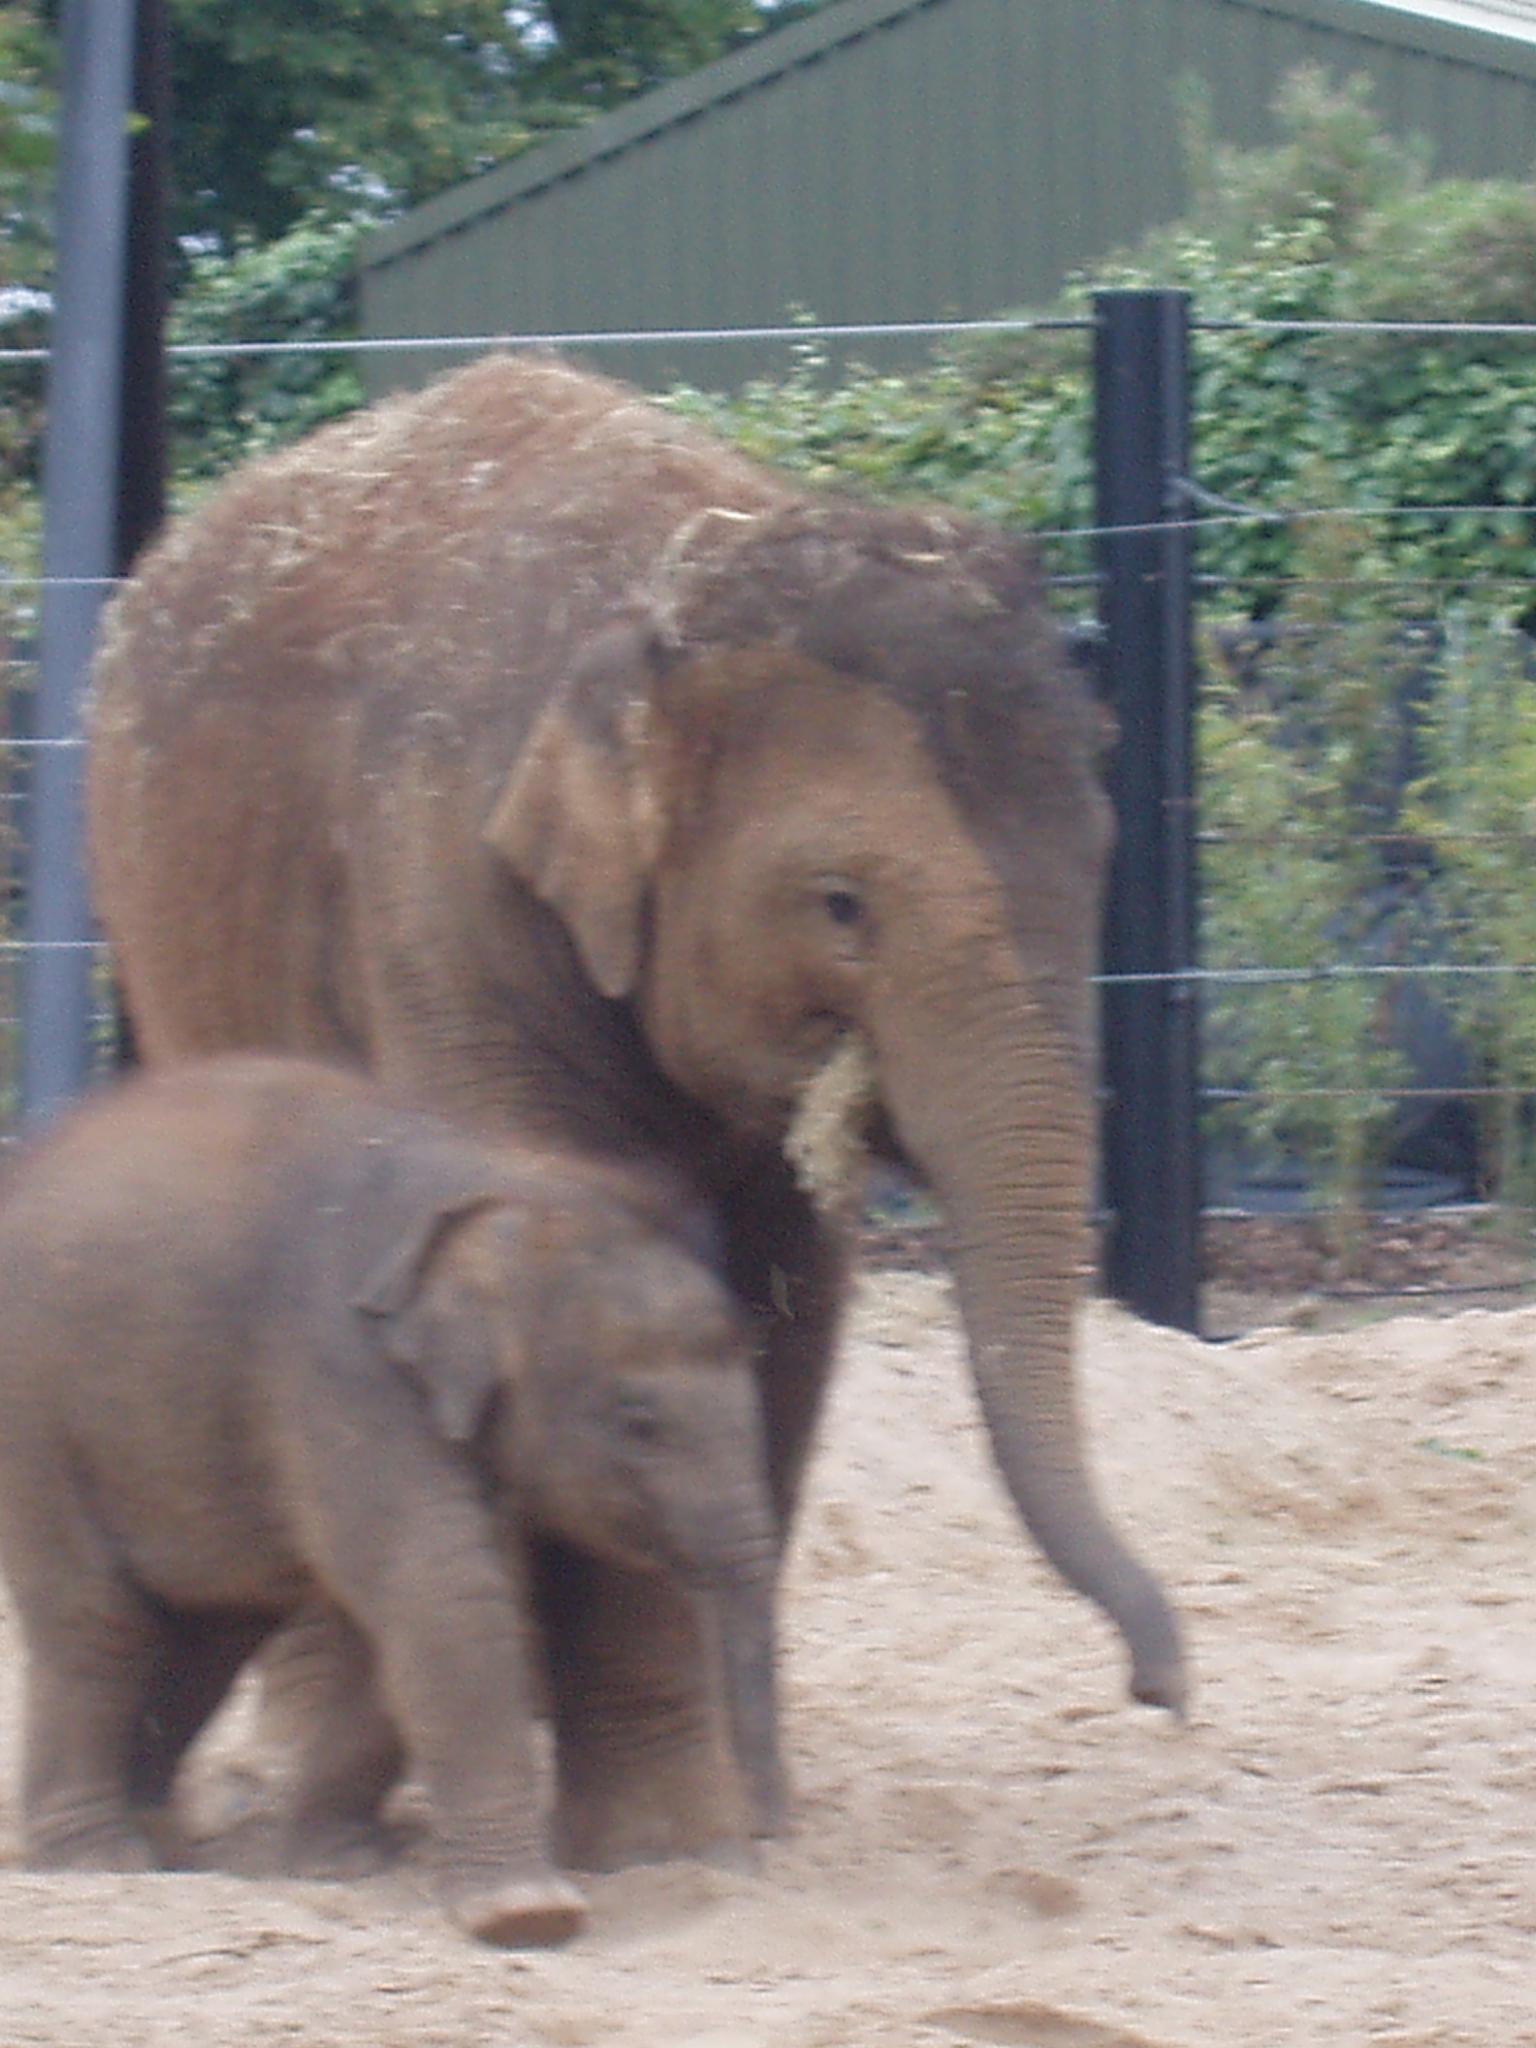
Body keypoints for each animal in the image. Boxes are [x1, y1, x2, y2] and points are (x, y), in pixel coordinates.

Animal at [0, 1054, 781, 1946]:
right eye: (639, 1422)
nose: (757, 1850)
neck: (509, 1183)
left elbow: (405, 1628)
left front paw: (340, 1862)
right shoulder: (345, 1371)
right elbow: (443, 1595)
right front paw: (528, 1915)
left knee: (207, 1629)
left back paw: (163, 1839)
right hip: (35, 1414)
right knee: (98, 1621)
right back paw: (100, 1858)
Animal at [86, 350, 1185, 1867]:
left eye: (1102, 856)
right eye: (840, 904)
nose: (1163, 1688)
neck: (681, 575)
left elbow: (785, 1315)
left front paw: (727, 1818)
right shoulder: (446, 897)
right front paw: (667, 1839)